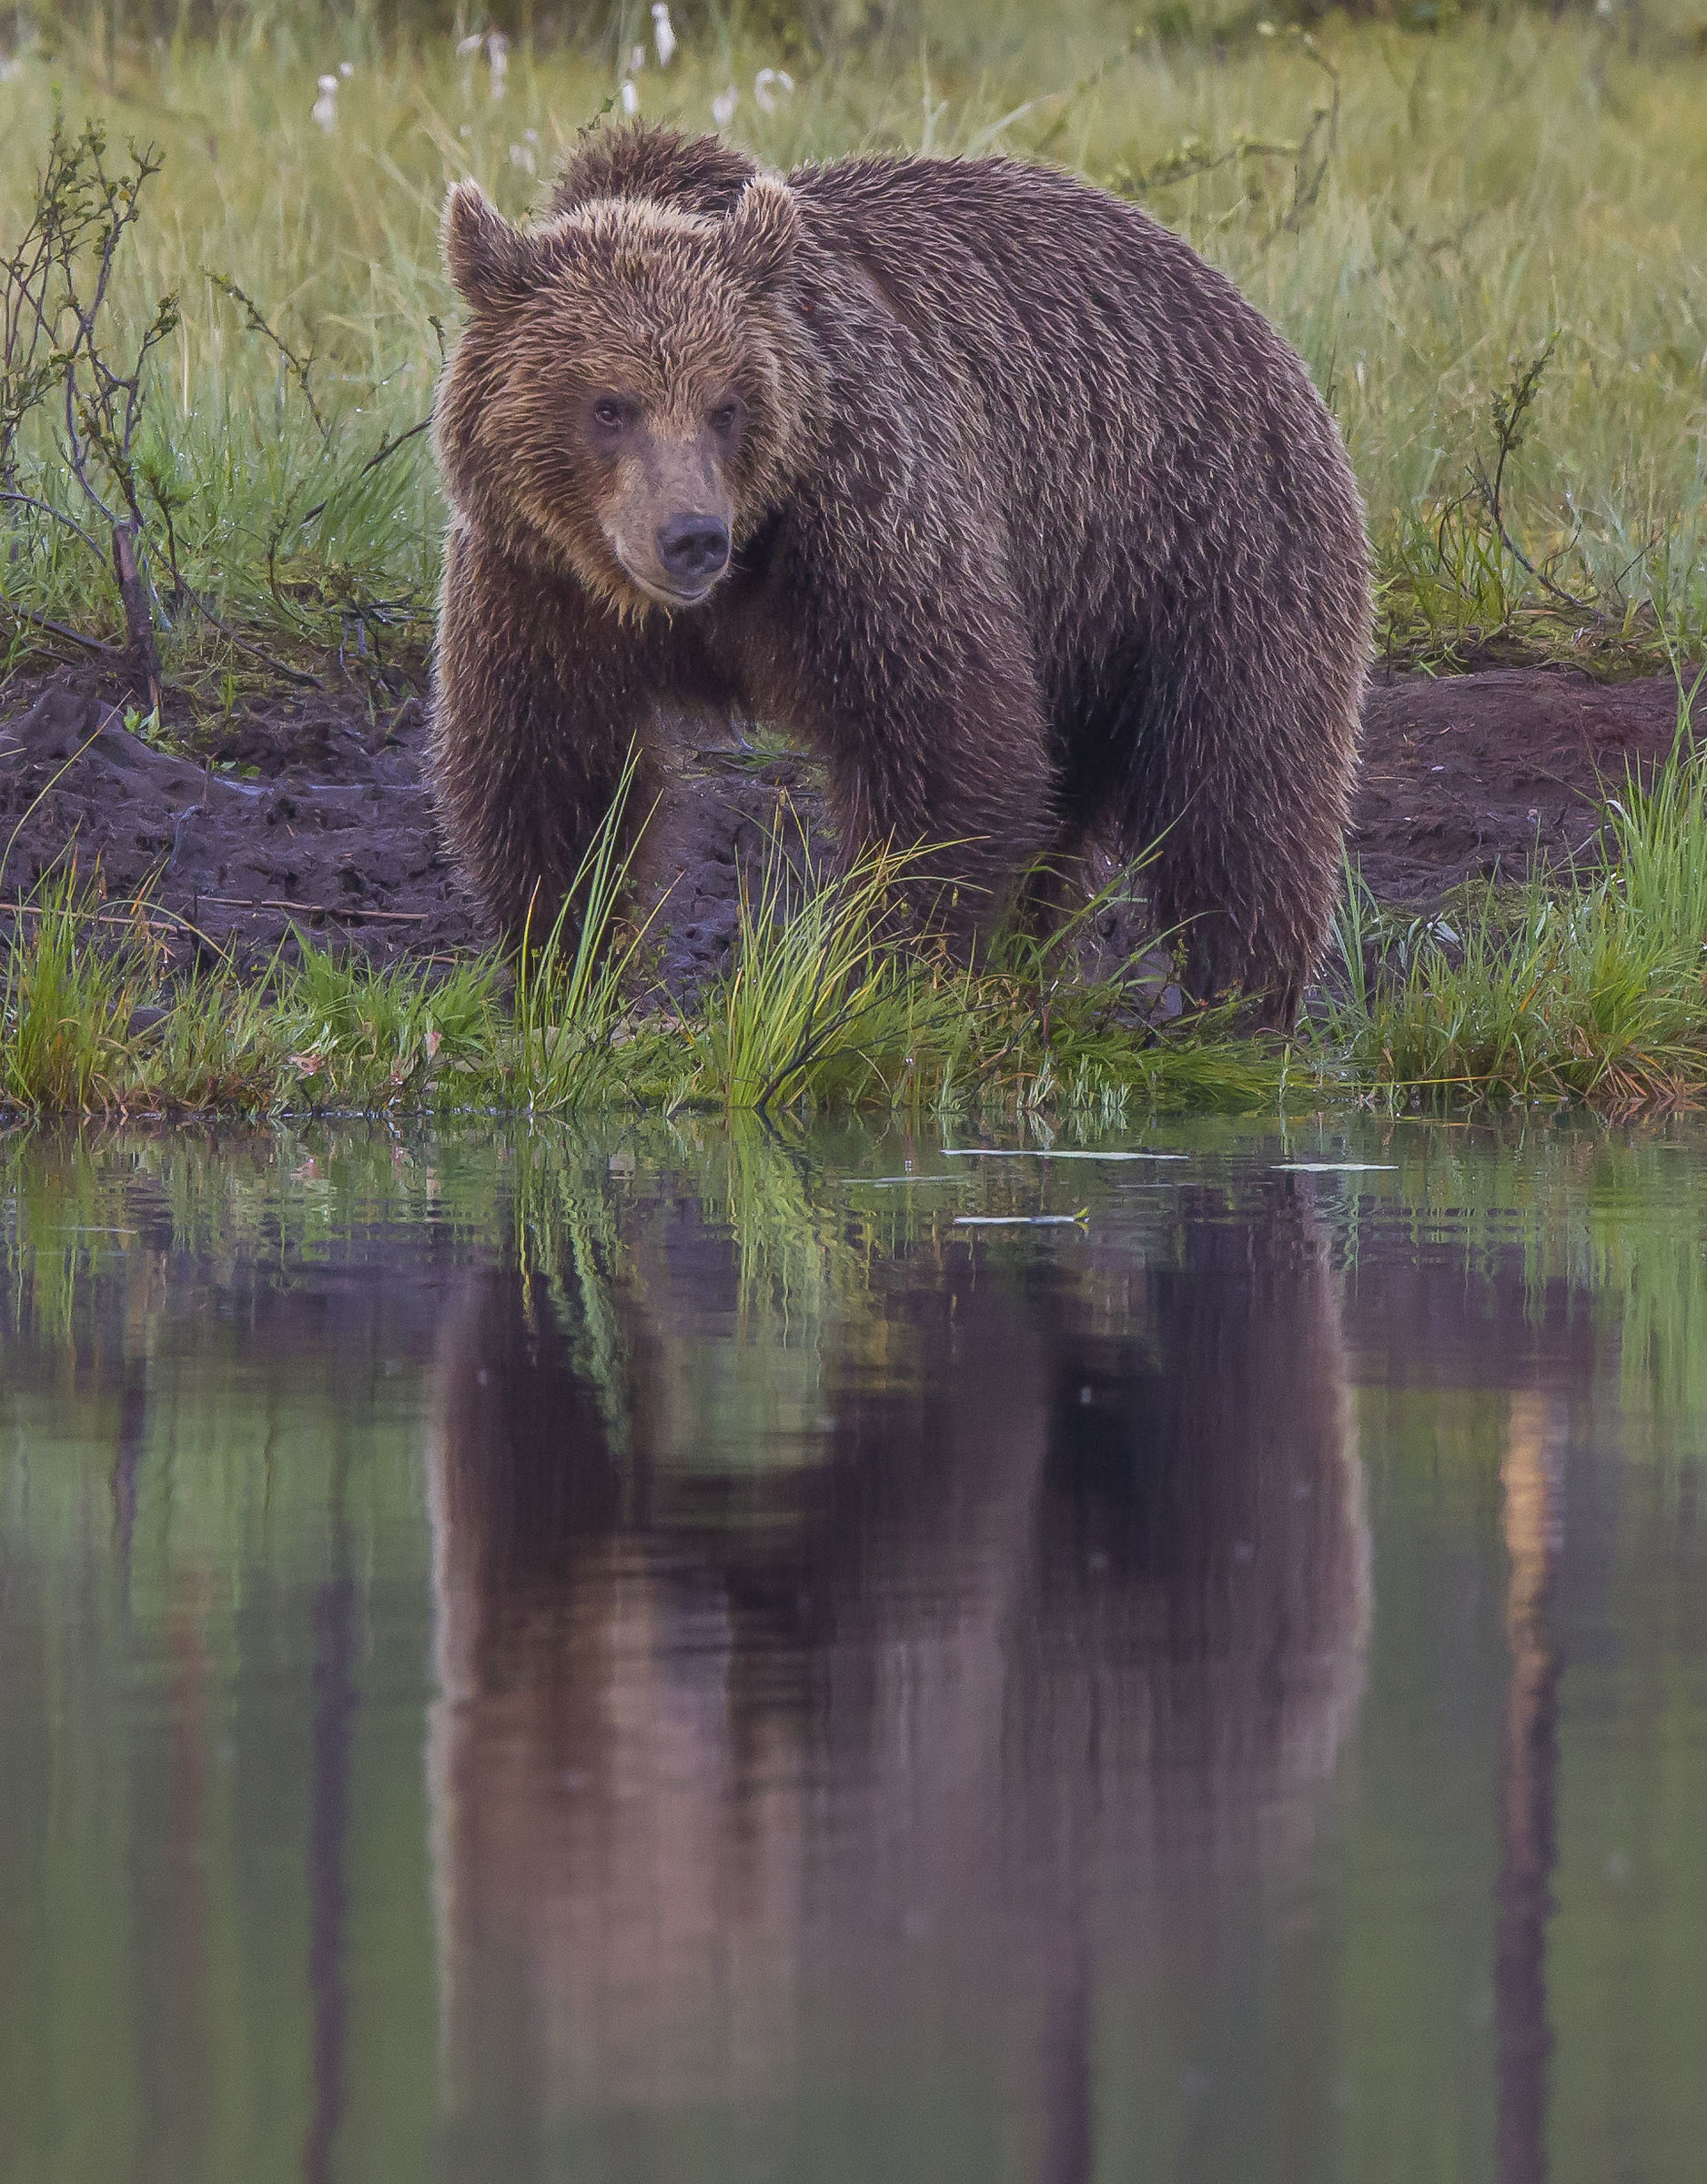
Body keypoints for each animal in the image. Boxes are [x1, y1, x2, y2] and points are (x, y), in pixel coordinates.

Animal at [430, 124, 1371, 1016]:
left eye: (726, 406)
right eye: (609, 406)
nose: (691, 537)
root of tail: (1254, 320)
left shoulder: (860, 519)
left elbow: (942, 747)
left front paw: (881, 971)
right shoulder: (537, 583)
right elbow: (551, 770)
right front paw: (564, 966)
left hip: (1207, 545)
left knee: (1241, 789)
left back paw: (1239, 1003)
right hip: (1088, 617)